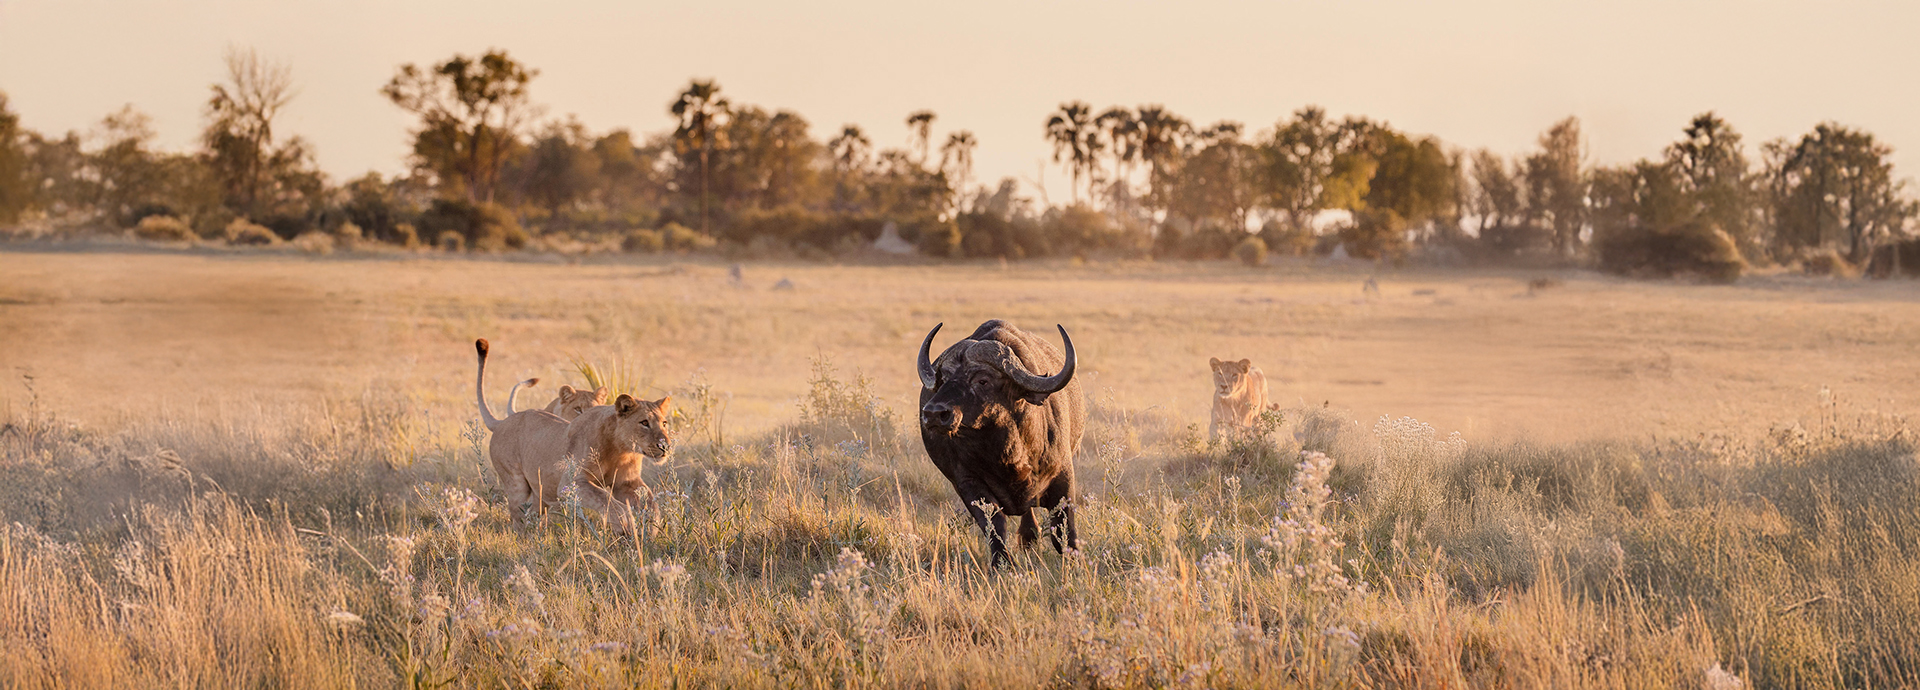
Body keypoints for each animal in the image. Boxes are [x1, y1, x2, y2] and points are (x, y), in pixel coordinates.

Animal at [476, 339, 673, 533]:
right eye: (644, 423)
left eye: (664, 423)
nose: (665, 446)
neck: (621, 449)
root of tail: (502, 421)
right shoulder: (571, 482)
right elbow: (607, 500)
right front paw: (625, 523)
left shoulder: (627, 482)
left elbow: (651, 502)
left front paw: (651, 529)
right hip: (517, 484)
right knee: (518, 517)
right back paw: (525, 537)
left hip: (541, 492)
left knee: (533, 514)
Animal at [917, 319, 1085, 566]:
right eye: (943, 379)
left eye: (983, 380)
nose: (933, 413)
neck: (1008, 453)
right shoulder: (968, 483)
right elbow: (994, 526)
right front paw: (1001, 564)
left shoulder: (1063, 476)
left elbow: (1063, 530)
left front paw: (1075, 563)